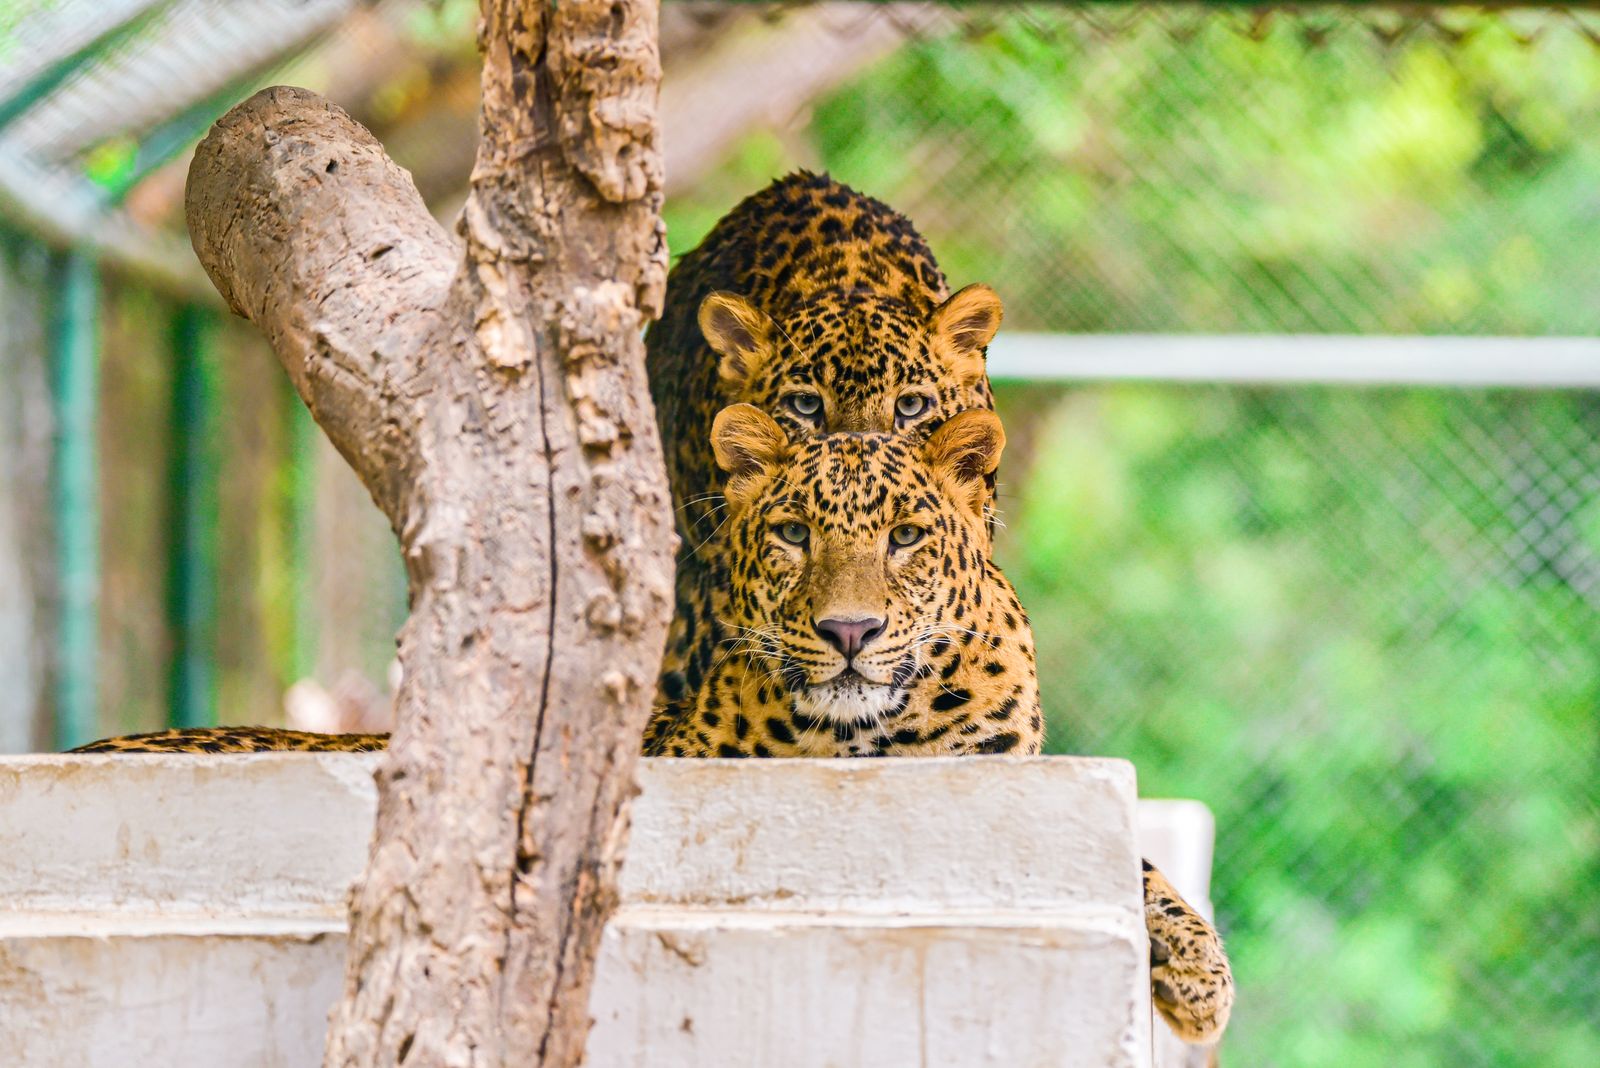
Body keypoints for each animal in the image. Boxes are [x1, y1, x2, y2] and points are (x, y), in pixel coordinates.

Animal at [643, 403, 1234, 1044]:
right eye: (794, 534)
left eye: (905, 537)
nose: (849, 630)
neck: (861, 735)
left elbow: (1139, 865)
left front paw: (1201, 973)